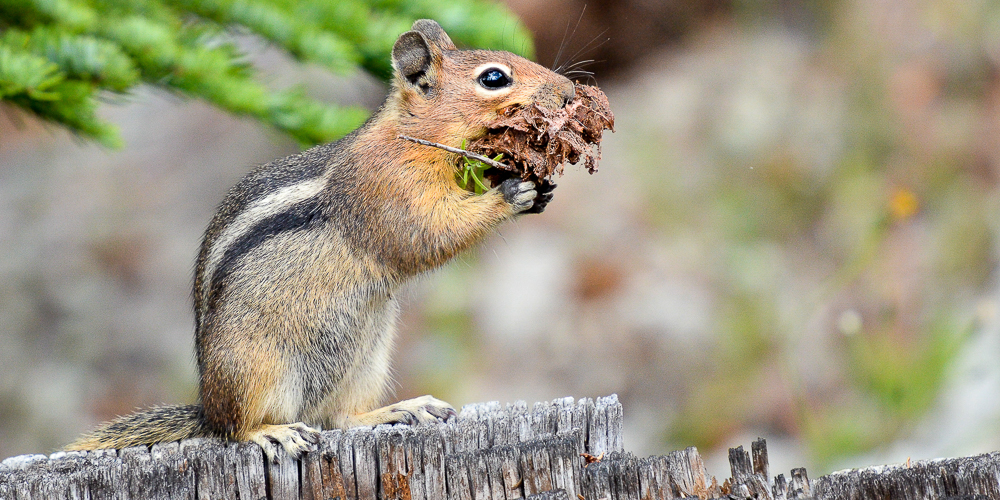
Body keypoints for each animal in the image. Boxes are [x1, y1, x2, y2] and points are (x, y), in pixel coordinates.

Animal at [64, 19, 572, 460]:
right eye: (494, 78)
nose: (568, 93)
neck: (409, 137)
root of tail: (207, 408)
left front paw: (540, 190)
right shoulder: (388, 193)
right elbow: (429, 234)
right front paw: (512, 193)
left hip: (367, 358)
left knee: (341, 417)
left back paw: (401, 409)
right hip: (255, 366)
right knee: (236, 429)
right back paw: (271, 432)